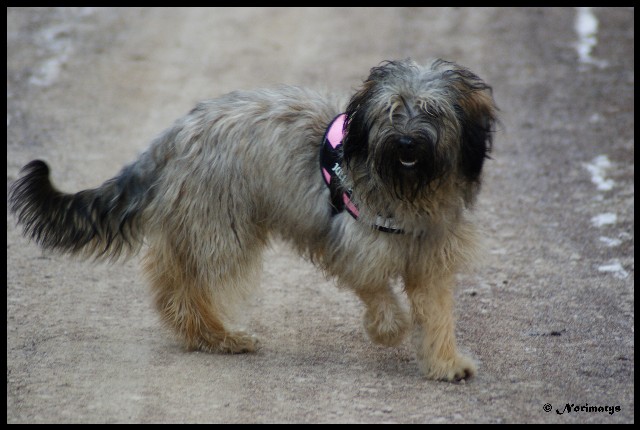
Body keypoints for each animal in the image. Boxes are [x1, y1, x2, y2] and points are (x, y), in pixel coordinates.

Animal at [9, 58, 497, 381]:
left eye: (432, 111)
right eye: (393, 110)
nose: (408, 143)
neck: (410, 189)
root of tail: (175, 133)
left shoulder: (431, 257)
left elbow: (436, 313)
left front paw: (446, 361)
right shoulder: (355, 243)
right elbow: (377, 290)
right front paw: (389, 328)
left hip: (204, 221)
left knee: (169, 276)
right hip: (222, 226)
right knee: (187, 285)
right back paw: (217, 336)